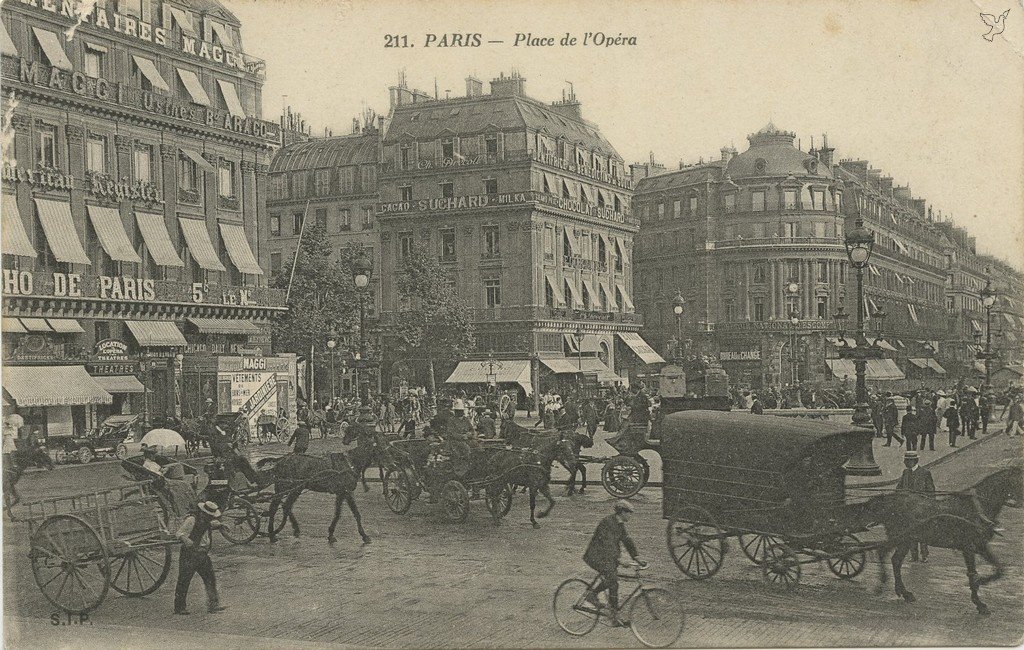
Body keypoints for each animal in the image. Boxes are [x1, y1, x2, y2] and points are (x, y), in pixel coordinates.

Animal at [860, 468, 1019, 614]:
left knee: (894, 559)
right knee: (884, 553)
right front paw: (979, 602)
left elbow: (999, 569)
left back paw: (903, 592)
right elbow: (972, 573)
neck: (976, 508)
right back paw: (883, 585)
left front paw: (982, 584)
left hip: (905, 539)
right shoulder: (968, 547)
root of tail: (887, 501)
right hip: (900, 538)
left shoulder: (980, 545)